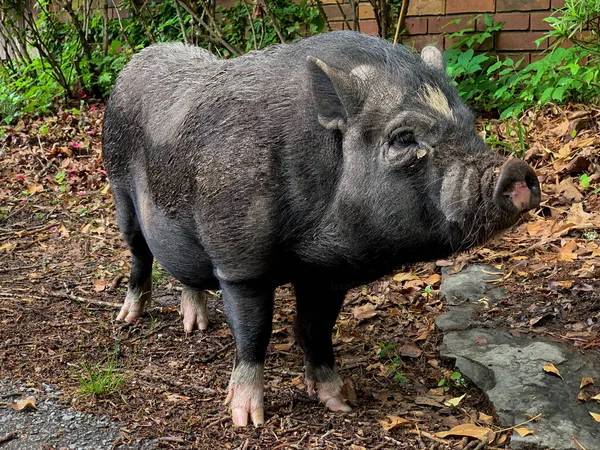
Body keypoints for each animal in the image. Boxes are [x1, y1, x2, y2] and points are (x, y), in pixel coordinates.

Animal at [101, 30, 540, 426]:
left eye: (470, 123)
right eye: (403, 138)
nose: (517, 170)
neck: (311, 243)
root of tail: (134, 62)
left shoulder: (329, 273)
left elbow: (317, 330)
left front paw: (342, 402)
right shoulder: (240, 262)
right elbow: (253, 332)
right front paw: (247, 419)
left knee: (186, 271)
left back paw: (196, 327)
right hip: (118, 185)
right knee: (139, 252)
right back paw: (128, 318)